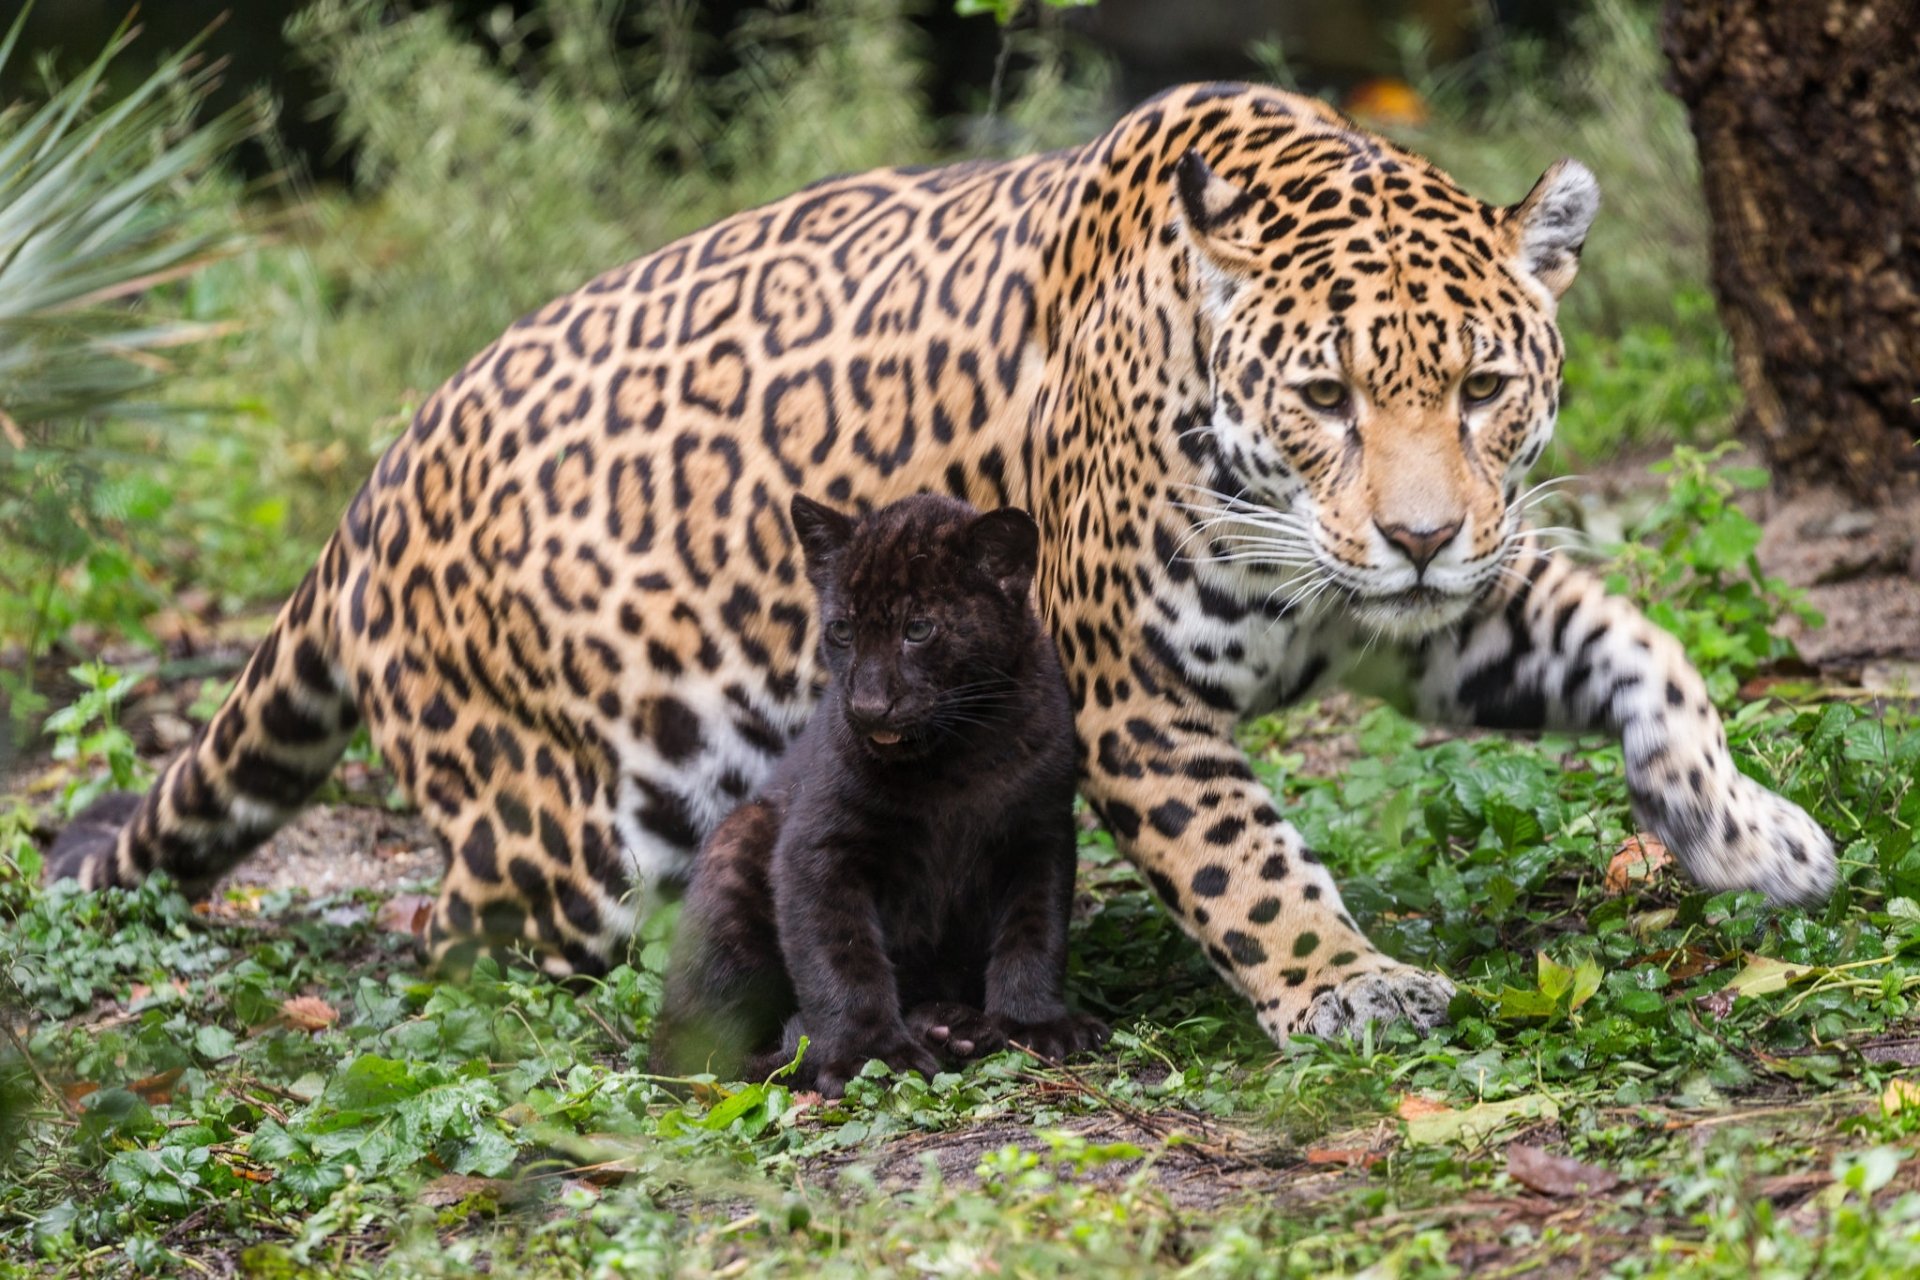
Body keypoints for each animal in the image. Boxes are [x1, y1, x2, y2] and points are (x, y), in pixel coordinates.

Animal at [47, 82, 1837, 1044]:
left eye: (1479, 386)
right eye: (1326, 396)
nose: (1416, 534)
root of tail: (373, 481)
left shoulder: (1449, 616)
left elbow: (1646, 652)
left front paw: (1745, 833)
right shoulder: (1133, 688)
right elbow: (1245, 860)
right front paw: (1341, 984)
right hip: (568, 836)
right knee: (447, 946)